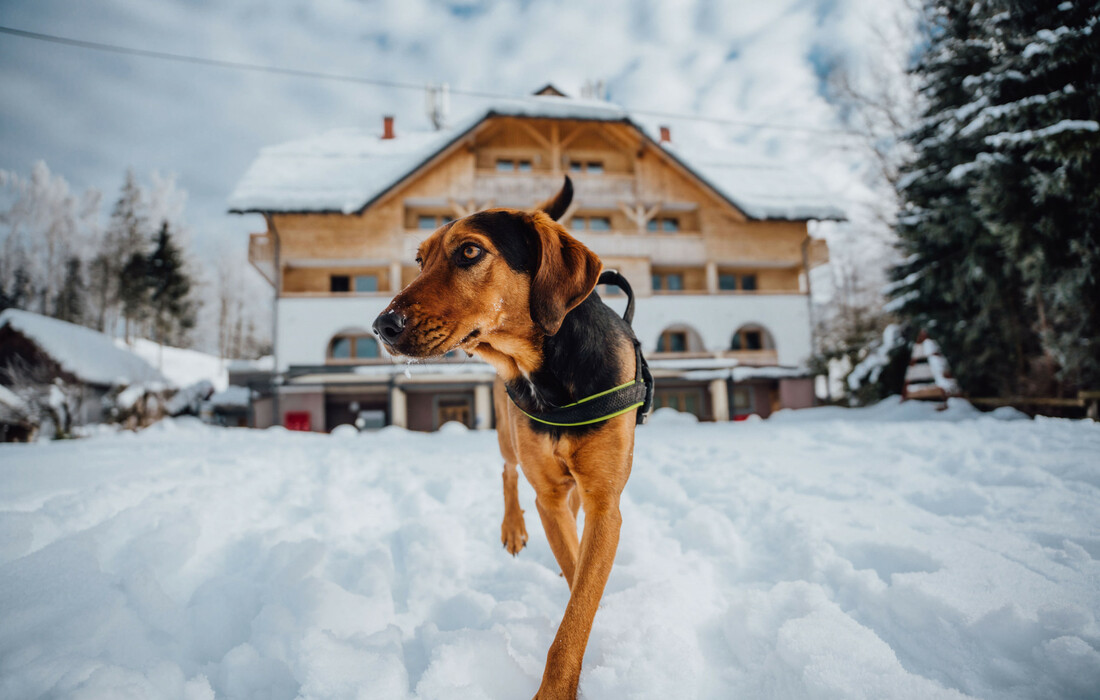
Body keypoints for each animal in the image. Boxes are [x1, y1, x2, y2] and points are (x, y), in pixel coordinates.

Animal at [374, 177, 642, 695]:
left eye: (470, 251)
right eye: (420, 260)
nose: (382, 326)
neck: (549, 375)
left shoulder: (604, 502)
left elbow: (580, 595)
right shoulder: (550, 495)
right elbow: (574, 572)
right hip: (507, 433)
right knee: (509, 471)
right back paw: (513, 527)